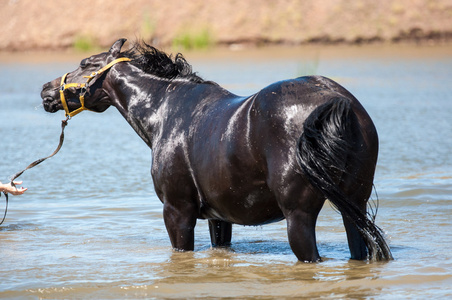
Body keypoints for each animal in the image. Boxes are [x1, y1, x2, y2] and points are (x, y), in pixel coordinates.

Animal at [40, 38, 392, 262]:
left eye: (85, 63)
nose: (46, 90)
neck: (164, 111)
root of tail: (336, 99)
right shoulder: (219, 218)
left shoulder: (177, 213)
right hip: (353, 207)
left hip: (300, 218)